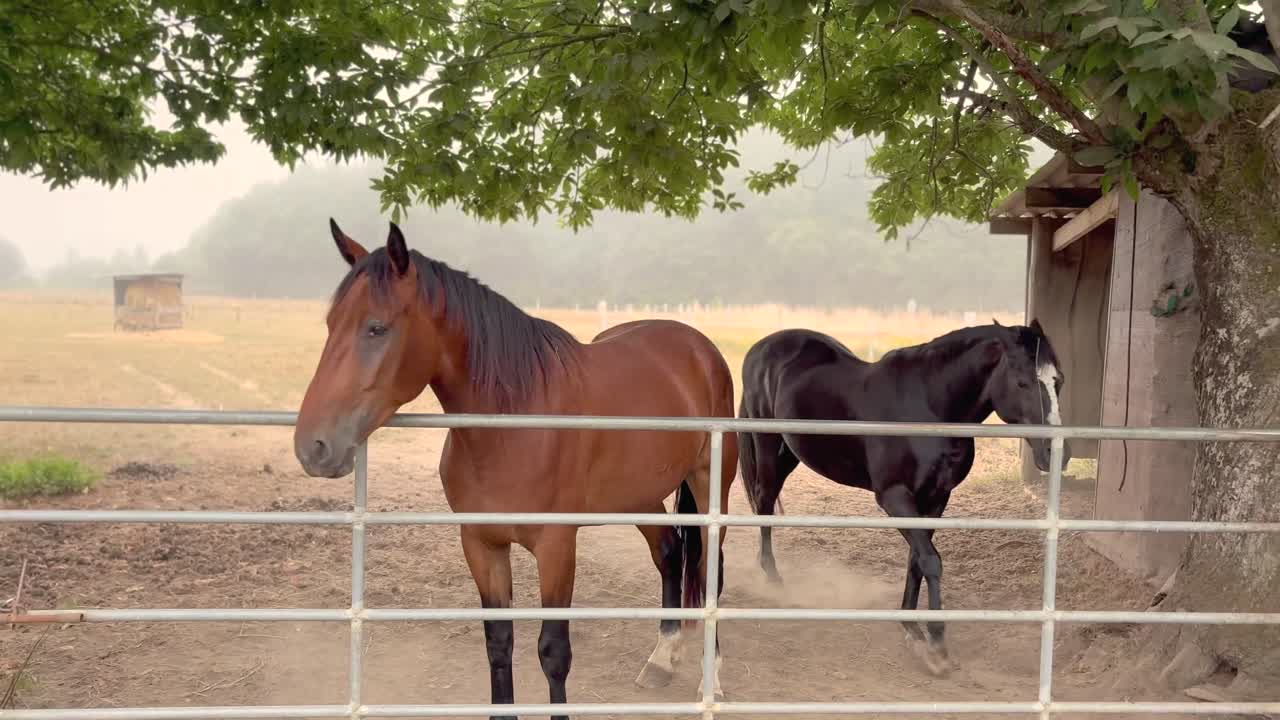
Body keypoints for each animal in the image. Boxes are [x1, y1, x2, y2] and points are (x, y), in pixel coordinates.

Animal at [293, 220, 738, 719]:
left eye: (376, 328)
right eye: (331, 325)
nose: (313, 446)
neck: (512, 425)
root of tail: (697, 346)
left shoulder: (556, 548)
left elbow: (553, 652)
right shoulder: (482, 544)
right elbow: (499, 642)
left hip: (710, 485)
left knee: (710, 565)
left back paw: (712, 678)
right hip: (640, 495)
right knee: (669, 553)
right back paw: (662, 660)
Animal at [736, 321, 1068, 675]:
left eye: (1058, 380)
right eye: (1023, 382)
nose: (1055, 453)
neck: (929, 408)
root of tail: (762, 347)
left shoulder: (936, 499)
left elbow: (916, 562)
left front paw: (912, 629)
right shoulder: (894, 497)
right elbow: (931, 561)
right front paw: (936, 645)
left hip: (789, 452)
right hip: (768, 446)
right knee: (764, 502)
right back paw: (772, 578)